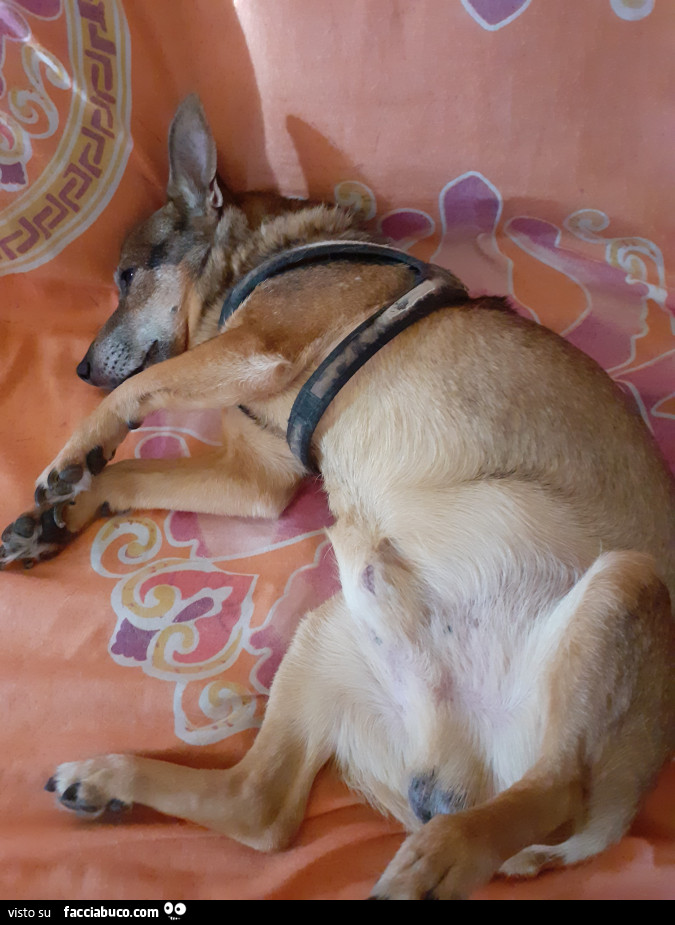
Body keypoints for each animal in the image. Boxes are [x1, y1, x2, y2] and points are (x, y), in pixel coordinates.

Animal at [1, 97, 675, 900]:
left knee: (556, 787)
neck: (253, 257)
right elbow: (130, 475)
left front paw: (71, 454)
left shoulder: (254, 351)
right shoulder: (257, 476)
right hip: (329, 636)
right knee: (257, 808)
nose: (76, 367)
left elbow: (135, 396)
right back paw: (107, 779)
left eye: (128, 274)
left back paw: (439, 857)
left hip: (623, 587)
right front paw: (57, 514)